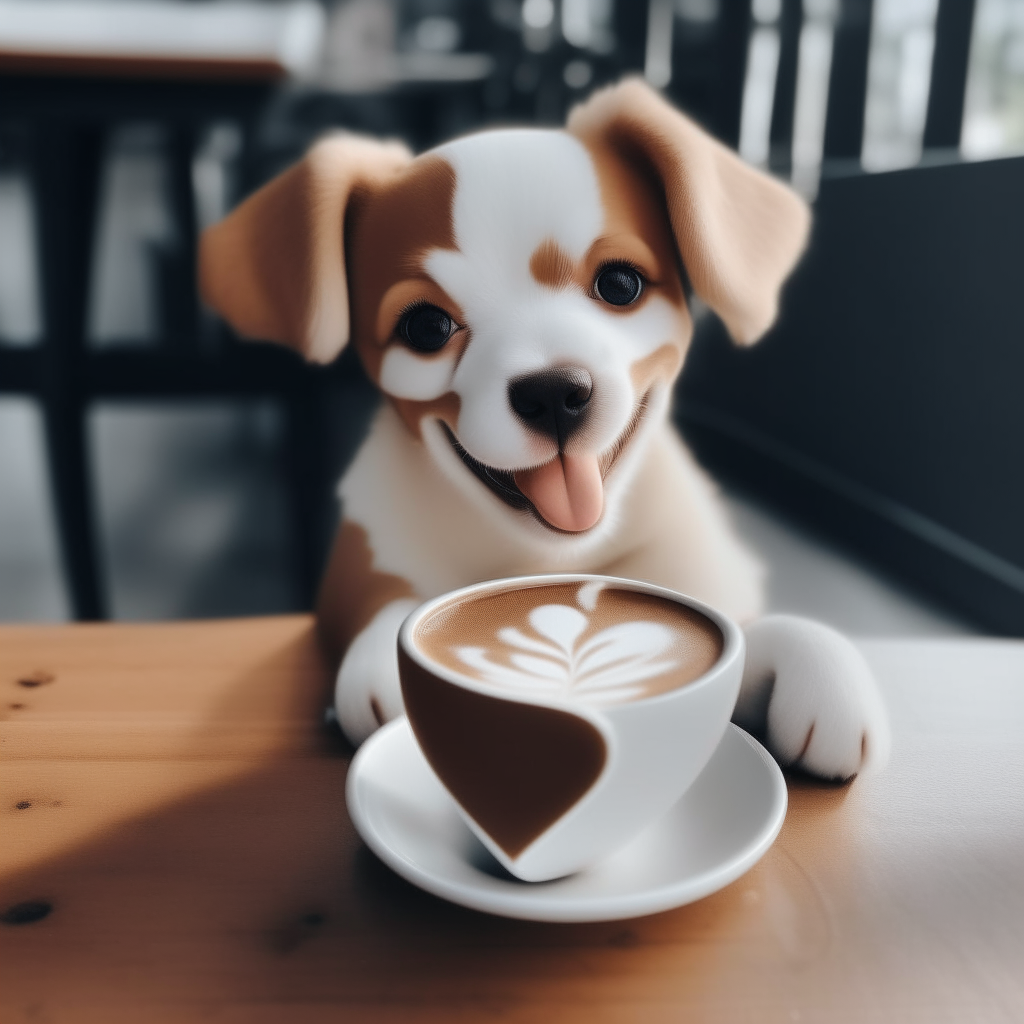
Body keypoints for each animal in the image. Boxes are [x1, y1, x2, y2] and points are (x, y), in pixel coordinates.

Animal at [199, 79, 888, 778]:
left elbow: (742, 628)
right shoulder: (361, 564)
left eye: (620, 283)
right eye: (425, 327)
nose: (554, 393)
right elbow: (387, 606)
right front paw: (389, 667)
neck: (544, 557)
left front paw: (816, 664)